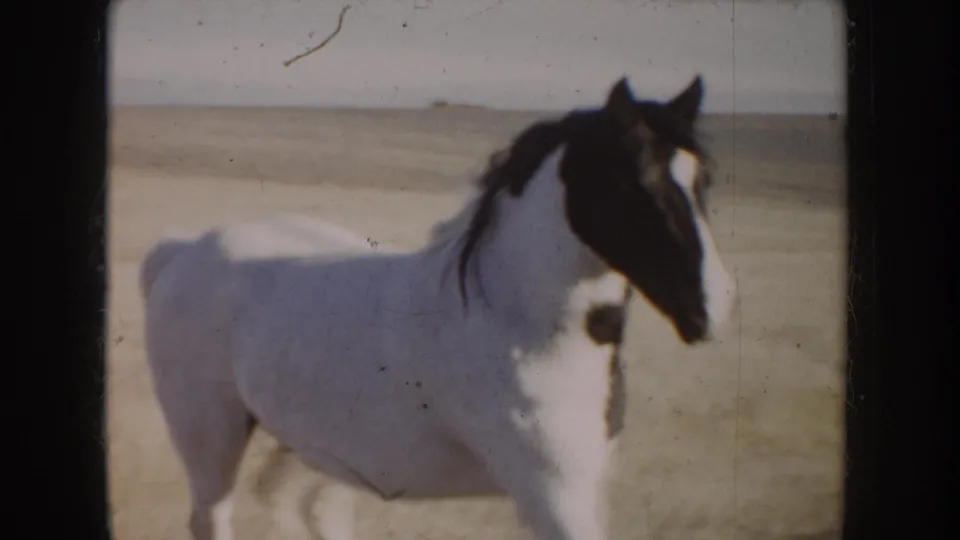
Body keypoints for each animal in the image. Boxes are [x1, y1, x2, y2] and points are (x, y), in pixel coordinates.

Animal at [140, 75, 736, 540]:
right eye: (627, 183)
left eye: (703, 180)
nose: (712, 306)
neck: (517, 324)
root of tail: (184, 250)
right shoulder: (553, 496)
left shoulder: (587, 488)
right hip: (211, 442)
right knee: (214, 517)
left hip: (319, 450)